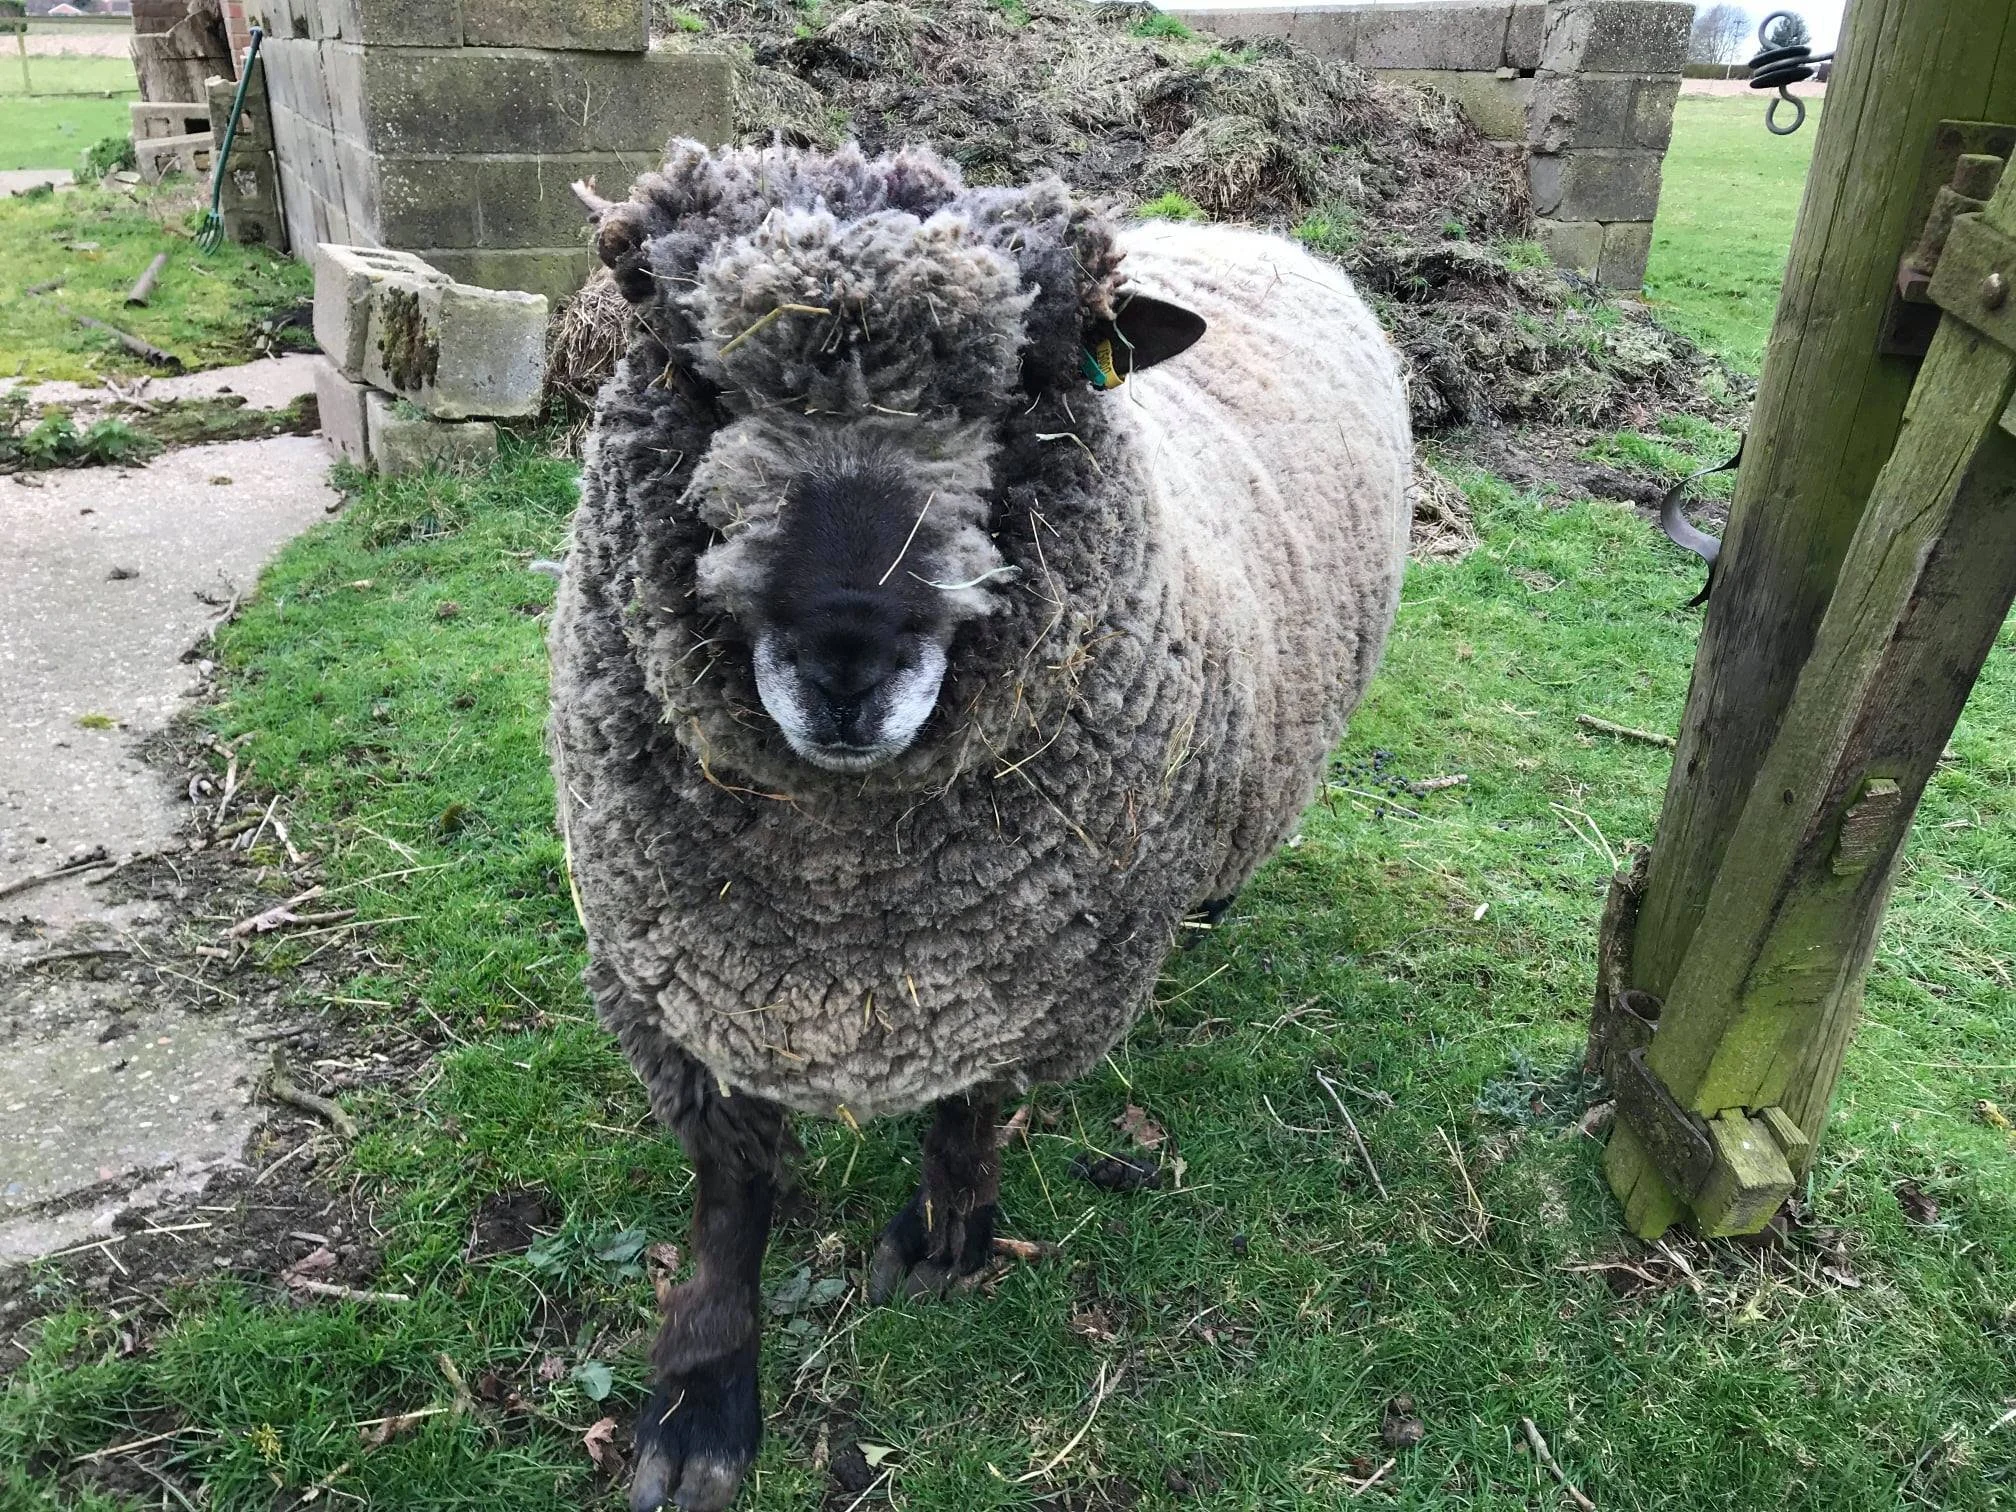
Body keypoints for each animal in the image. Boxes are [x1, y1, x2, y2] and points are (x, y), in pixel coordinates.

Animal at [548, 139, 1410, 1512]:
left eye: (1017, 390)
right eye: (694, 374)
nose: (847, 664)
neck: (841, 888)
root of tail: (1248, 233)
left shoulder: (1039, 966)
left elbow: (967, 1110)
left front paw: (948, 1239)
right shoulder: (678, 976)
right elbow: (730, 1197)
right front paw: (700, 1398)